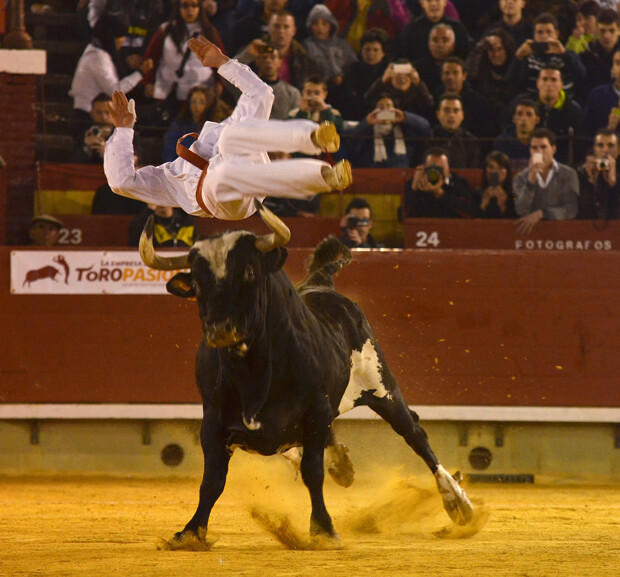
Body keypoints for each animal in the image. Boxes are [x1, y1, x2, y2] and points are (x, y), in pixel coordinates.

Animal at [138, 204, 472, 548]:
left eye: (250, 272)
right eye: (197, 283)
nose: (220, 330)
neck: (254, 372)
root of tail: (322, 284)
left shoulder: (317, 410)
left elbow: (313, 471)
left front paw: (323, 529)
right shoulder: (213, 420)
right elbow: (213, 480)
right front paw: (191, 532)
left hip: (382, 387)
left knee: (415, 434)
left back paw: (458, 504)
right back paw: (342, 465)